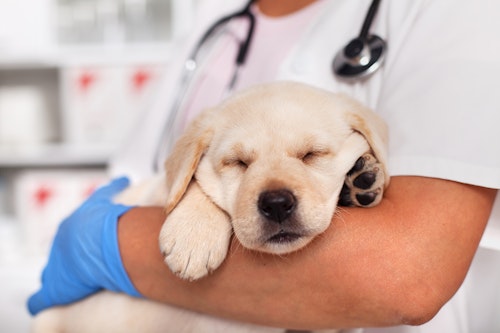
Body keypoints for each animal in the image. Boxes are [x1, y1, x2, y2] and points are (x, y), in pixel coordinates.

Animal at [32, 81, 390, 332]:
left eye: (311, 154)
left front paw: (364, 174)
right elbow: (192, 182)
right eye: (238, 163)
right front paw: (193, 237)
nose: (276, 204)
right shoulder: (158, 191)